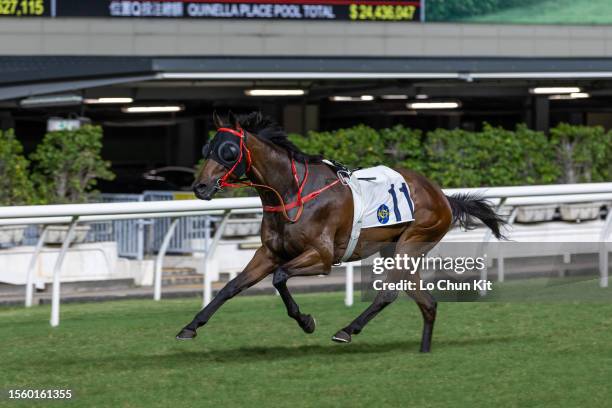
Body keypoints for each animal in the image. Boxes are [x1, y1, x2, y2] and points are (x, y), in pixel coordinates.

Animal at [175, 111, 504, 350]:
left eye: (229, 151)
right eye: (207, 147)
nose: (200, 186)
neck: (290, 191)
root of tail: (442, 196)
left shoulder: (321, 257)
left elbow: (280, 277)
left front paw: (306, 321)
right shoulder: (269, 252)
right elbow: (232, 287)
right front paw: (190, 326)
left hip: (411, 243)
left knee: (390, 293)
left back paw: (347, 330)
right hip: (396, 249)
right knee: (426, 302)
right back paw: (422, 350)